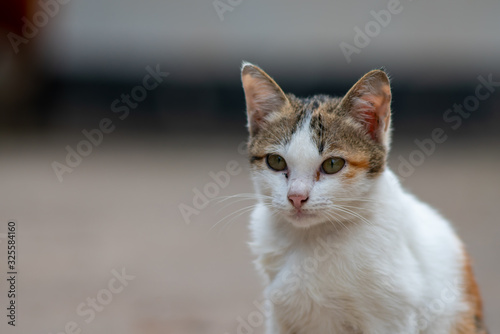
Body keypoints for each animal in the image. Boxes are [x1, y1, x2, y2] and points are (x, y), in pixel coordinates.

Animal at [240, 62, 486, 334]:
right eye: (276, 161)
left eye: (333, 164)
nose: (296, 197)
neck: (313, 241)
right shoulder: (279, 317)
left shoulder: (391, 318)